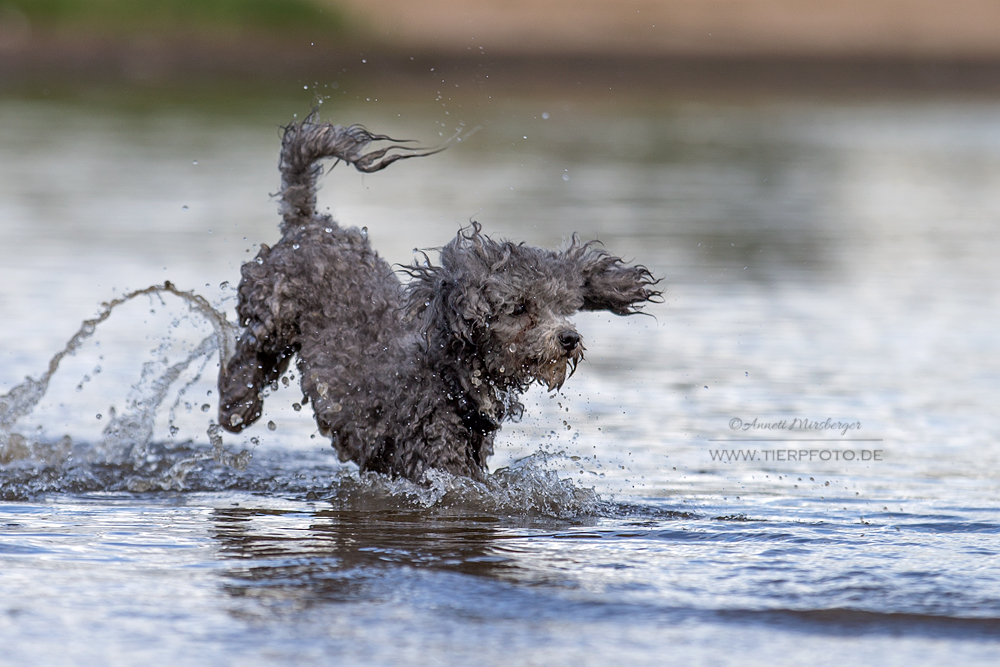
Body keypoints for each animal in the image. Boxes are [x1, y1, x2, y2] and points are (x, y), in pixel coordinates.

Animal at [219, 115, 660, 480]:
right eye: (520, 308)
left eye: (562, 307)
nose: (569, 338)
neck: (449, 375)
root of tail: (308, 225)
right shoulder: (434, 460)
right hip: (273, 312)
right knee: (250, 354)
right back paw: (236, 406)